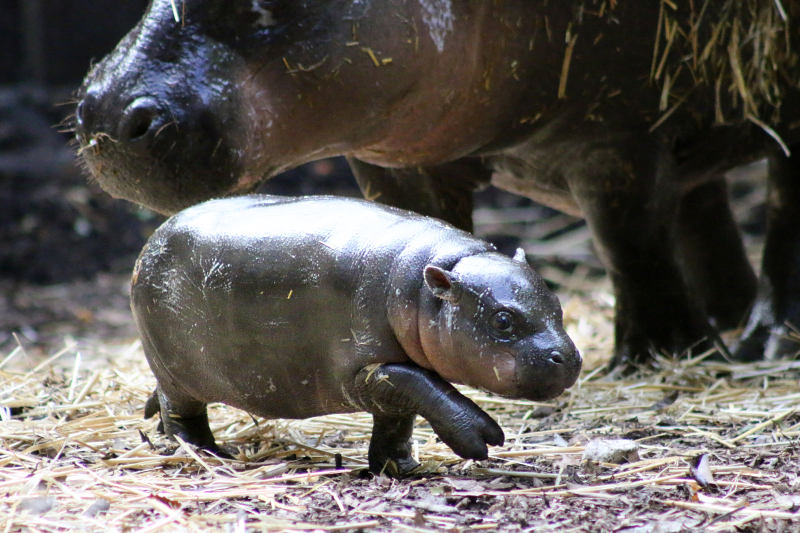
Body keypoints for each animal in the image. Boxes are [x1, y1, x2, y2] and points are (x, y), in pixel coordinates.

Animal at [76, 1, 800, 366]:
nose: (106, 112)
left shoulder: (616, 135)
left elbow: (632, 244)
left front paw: (666, 356)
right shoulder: (394, 158)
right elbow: (418, 229)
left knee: (778, 214)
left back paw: (761, 343)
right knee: (704, 207)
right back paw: (732, 321)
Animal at [131, 194, 580, 475]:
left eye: (557, 304)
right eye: (503, 320)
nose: (569, 358)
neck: (425, 286)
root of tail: (152, 238)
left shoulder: (392, 370)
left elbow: (398, 420)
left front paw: (404, 469)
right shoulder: (368, 371)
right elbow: (424, 388)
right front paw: (483, 439)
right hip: (175, 371)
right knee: (181, 410)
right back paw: (205, 452)